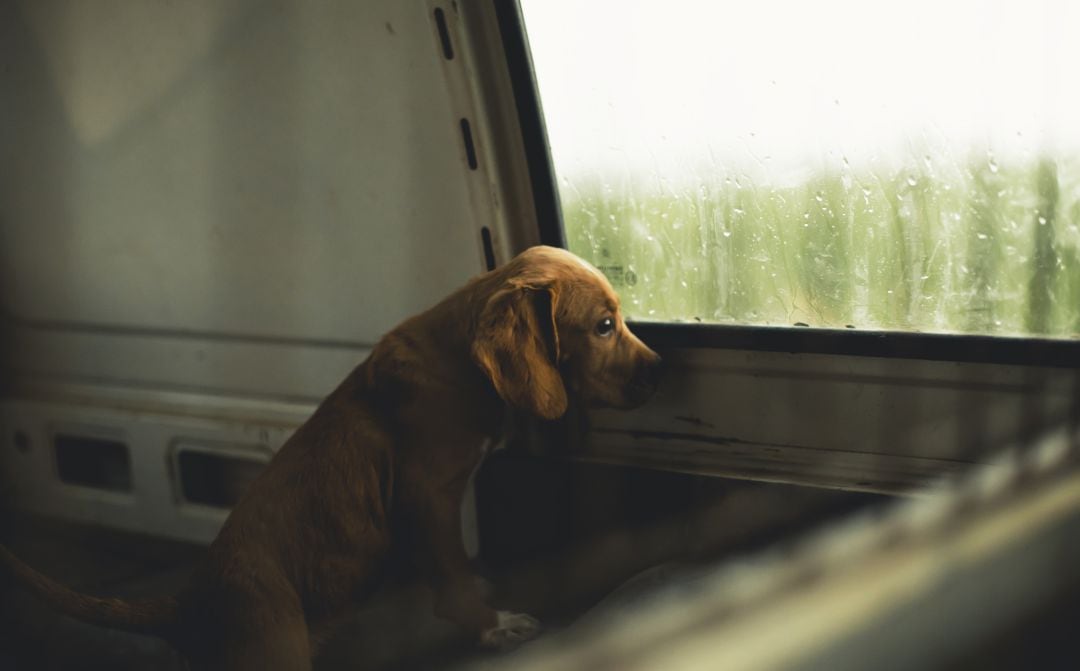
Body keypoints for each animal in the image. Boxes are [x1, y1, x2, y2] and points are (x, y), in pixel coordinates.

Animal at [0, 246, 660, 669]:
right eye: (604, 326)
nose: (664, 370)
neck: (459, 361)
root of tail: (188, 602)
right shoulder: (426, 494)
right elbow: (450, 574)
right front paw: (491, 625)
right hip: (275, 646)